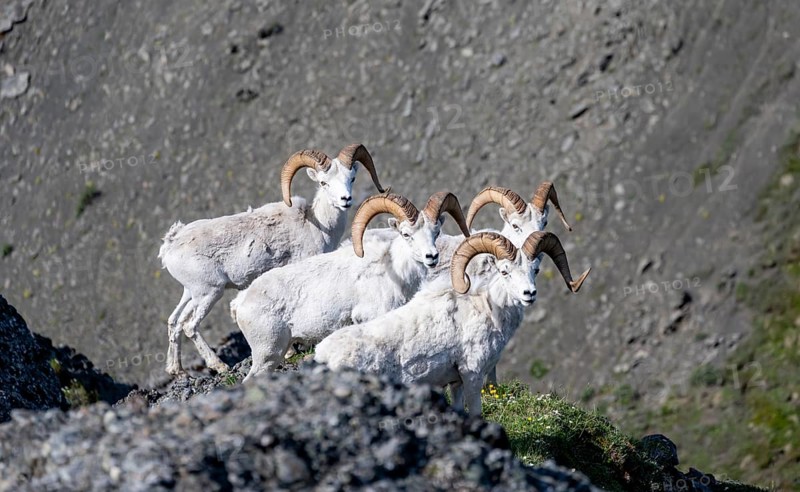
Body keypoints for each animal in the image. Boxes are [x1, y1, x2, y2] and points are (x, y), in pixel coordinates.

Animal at [158, 144, 385, 375]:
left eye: (352, 178)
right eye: (324, 182)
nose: (345, 200)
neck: (317, 225)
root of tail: (171, 244)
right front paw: (291, 351)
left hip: (191, 293)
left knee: (174, 322)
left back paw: (176, 370)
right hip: (209, 292)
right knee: (189, 325)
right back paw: (219, 366)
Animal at [230, 191, 471, 382]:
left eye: (436, 232)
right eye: (406, 234)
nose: (432, 257)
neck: (395, 271)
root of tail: (241, 302)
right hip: (268, 353)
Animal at [314, 231, 590, 416]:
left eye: (535, 270)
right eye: (504, 271)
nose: (529, 294)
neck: (489, 309)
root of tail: (322, 356)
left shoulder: (455, 382)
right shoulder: (473, 375)